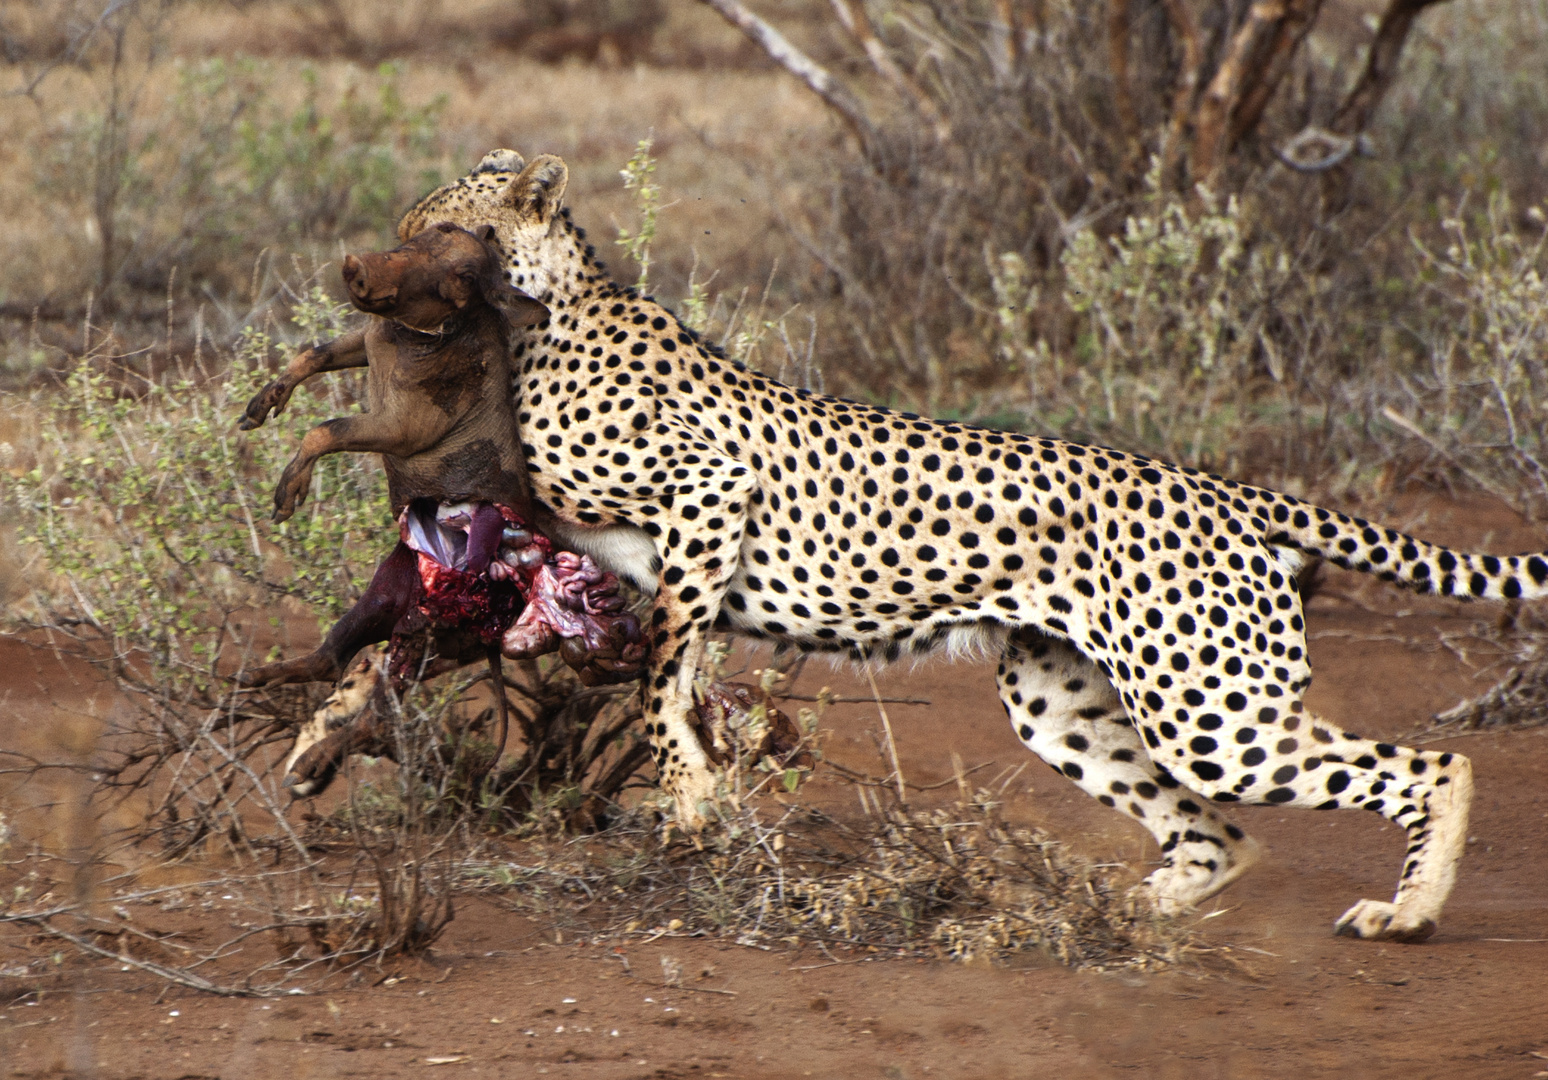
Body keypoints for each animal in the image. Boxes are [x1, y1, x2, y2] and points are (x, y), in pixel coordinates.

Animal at [393, 146, 1541, 940]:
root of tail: (1222, 484)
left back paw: (1407, 912)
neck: (543, 314)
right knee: (1223, 834)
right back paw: (1135, 913)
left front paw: (690, 796)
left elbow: (664, 670)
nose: (375, 272)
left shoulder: (714, 495)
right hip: (1059, 698)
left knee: (1432, 766)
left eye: (435, 231)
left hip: (1208, 711)